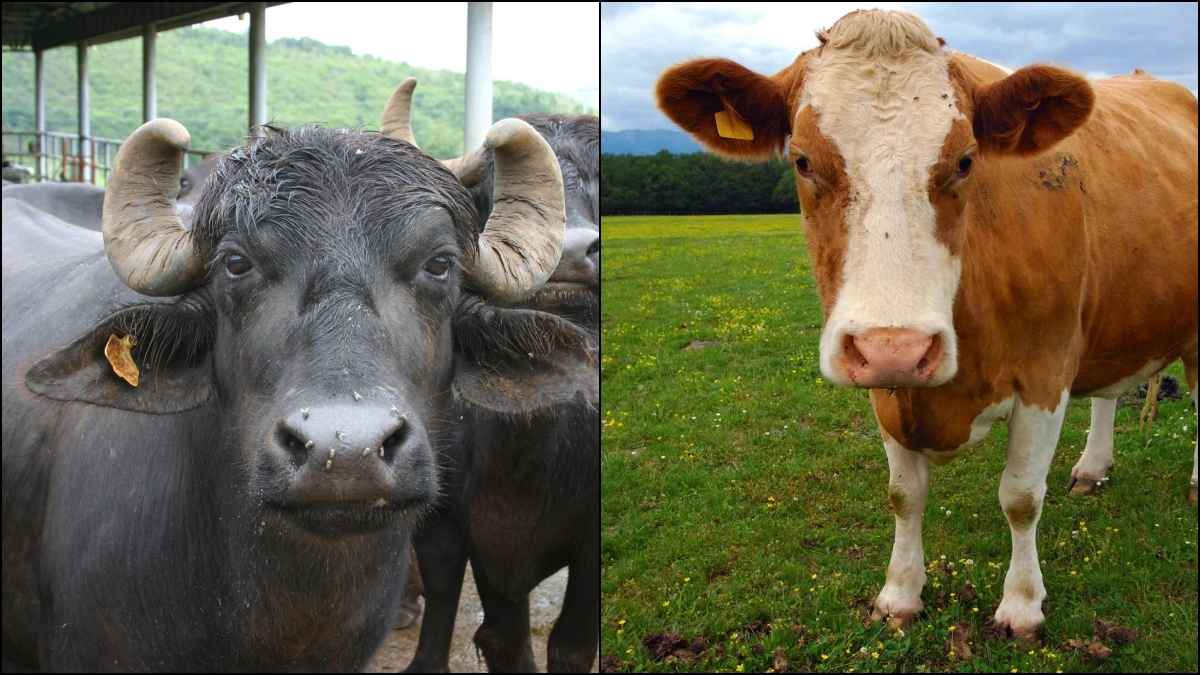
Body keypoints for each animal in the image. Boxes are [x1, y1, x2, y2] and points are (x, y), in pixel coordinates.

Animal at [656, 9, 1197, 638]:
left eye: (965, 160)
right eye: (803, 160)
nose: (898, 348)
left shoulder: (1046, 370)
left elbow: (1020, 497)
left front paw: (1021, 604)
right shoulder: (886, 389)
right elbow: (903, 495)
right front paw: (900, 593)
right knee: (1110, 392)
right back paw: (1092, 467)